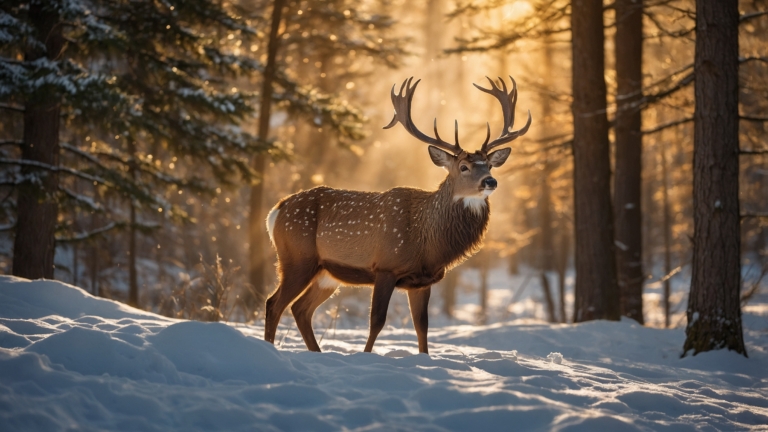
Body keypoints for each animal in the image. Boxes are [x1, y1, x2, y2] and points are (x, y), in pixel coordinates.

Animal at [264, 76, 531, 354]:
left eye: (489, 165)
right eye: (463, 167)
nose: (490, 181)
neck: (427, 243)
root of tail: (275, 211)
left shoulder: (423, 280)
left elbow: (421, 326)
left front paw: (424, 357)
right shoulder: (386, 266)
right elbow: (377, 321)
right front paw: (366, 355)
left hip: (325, 273)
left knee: (300, 309)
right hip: (297, 258)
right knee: (274, 303)